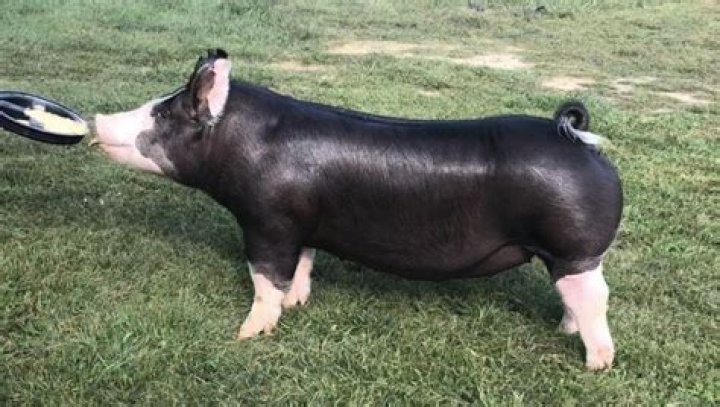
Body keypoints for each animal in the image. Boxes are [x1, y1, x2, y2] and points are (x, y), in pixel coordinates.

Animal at [93, 49, 623, 371]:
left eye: (163, 114)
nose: (98, 119)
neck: (245, 147)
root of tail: (578, 139)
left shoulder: (268, 222)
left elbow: (265, 279)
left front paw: (246, 335)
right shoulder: (303, 224)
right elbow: (302, 267)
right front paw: (298, 304)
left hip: (574, 246)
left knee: (597, 298)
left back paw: (596, 363)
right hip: (563, 255)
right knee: (574, 297)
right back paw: (562, 329)